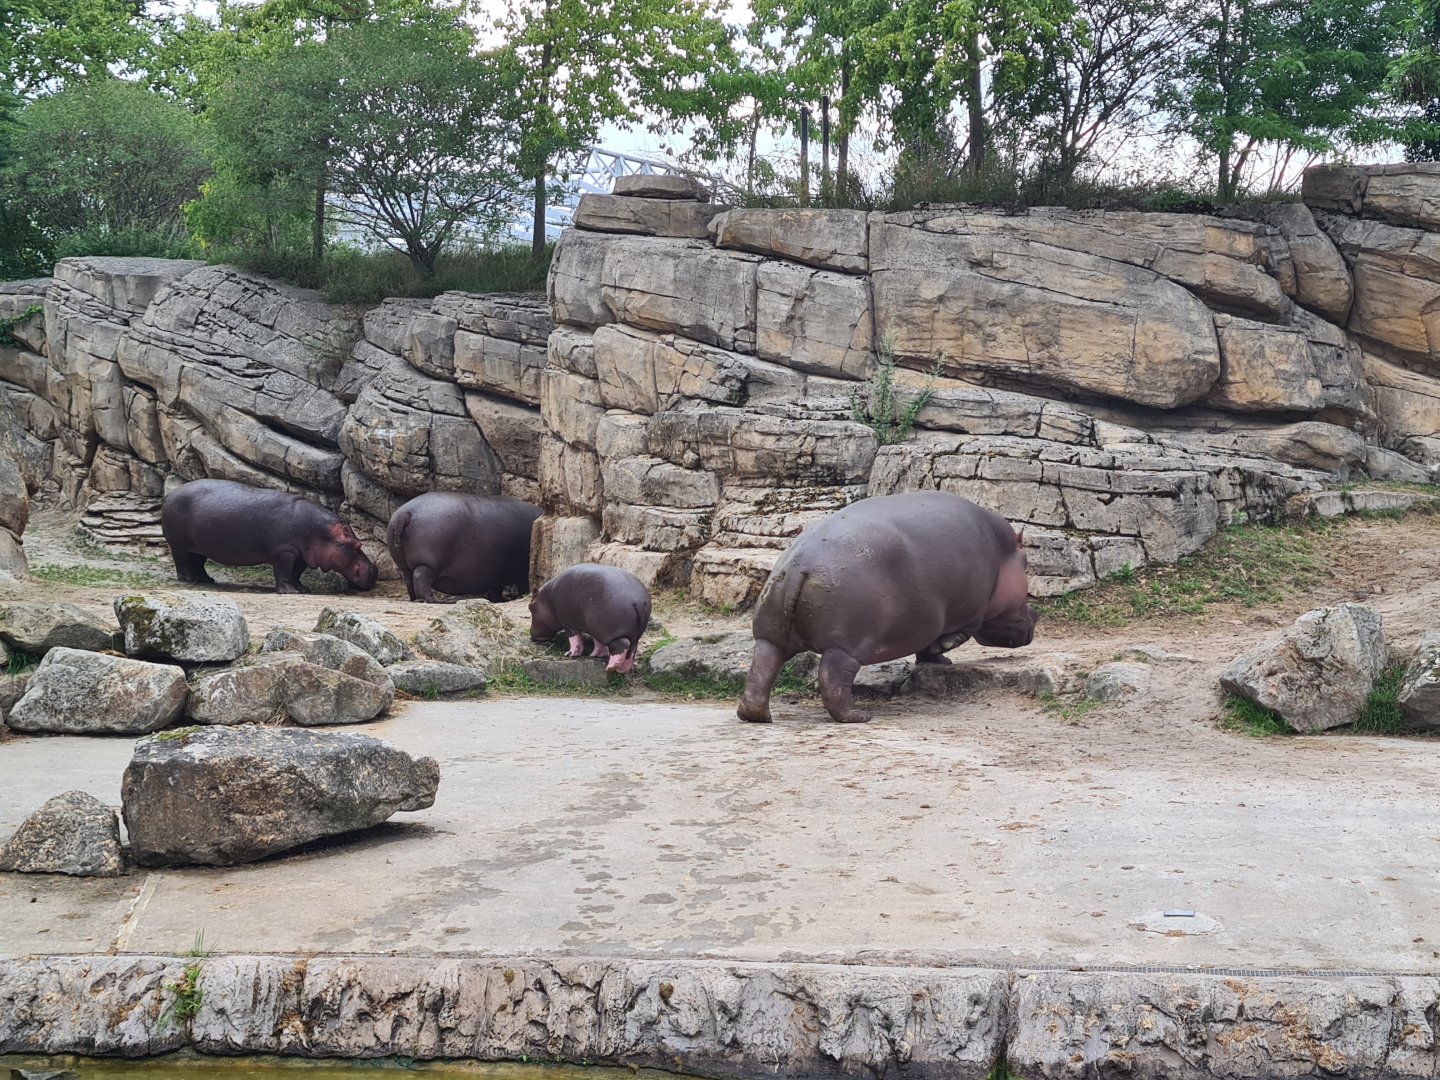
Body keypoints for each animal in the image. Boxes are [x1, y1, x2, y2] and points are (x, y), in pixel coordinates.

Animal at [161, 478, 378, 594]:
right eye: (358, 545)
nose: (375, 571)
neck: (321, 533)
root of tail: (170, 495)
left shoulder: (300, 554)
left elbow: (295, 573)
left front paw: (303, 589)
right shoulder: (285, 551)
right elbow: (283, 572)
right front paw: (290, 592)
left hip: (198, 547)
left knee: (197, 562)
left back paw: (206, 580)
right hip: (179, 545)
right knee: (182, 562)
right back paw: (189, 580)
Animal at [385, 492, 542, 602]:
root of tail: (406, 512)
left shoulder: (498, 573)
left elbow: (496, 589)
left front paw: (497, 599)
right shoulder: (521, 572)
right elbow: (522, 586)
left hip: (404, 565)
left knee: (409, 580)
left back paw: (415, 599)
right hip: (427, 564)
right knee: (420, 579)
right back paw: (433, 600)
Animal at [738, 491, 1037, 724]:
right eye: (1026, 565)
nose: (1034, 615)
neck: (1001, 552)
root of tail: (798, 567)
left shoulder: (927, 622)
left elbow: (927, 646)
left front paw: (941, 660)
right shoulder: (970, 609)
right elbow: (957, 634)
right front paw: (946, 649)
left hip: (771, 635)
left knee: (761, 670)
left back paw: (755, 715)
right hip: (846, 646)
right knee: (831, 678)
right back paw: (858, 717)